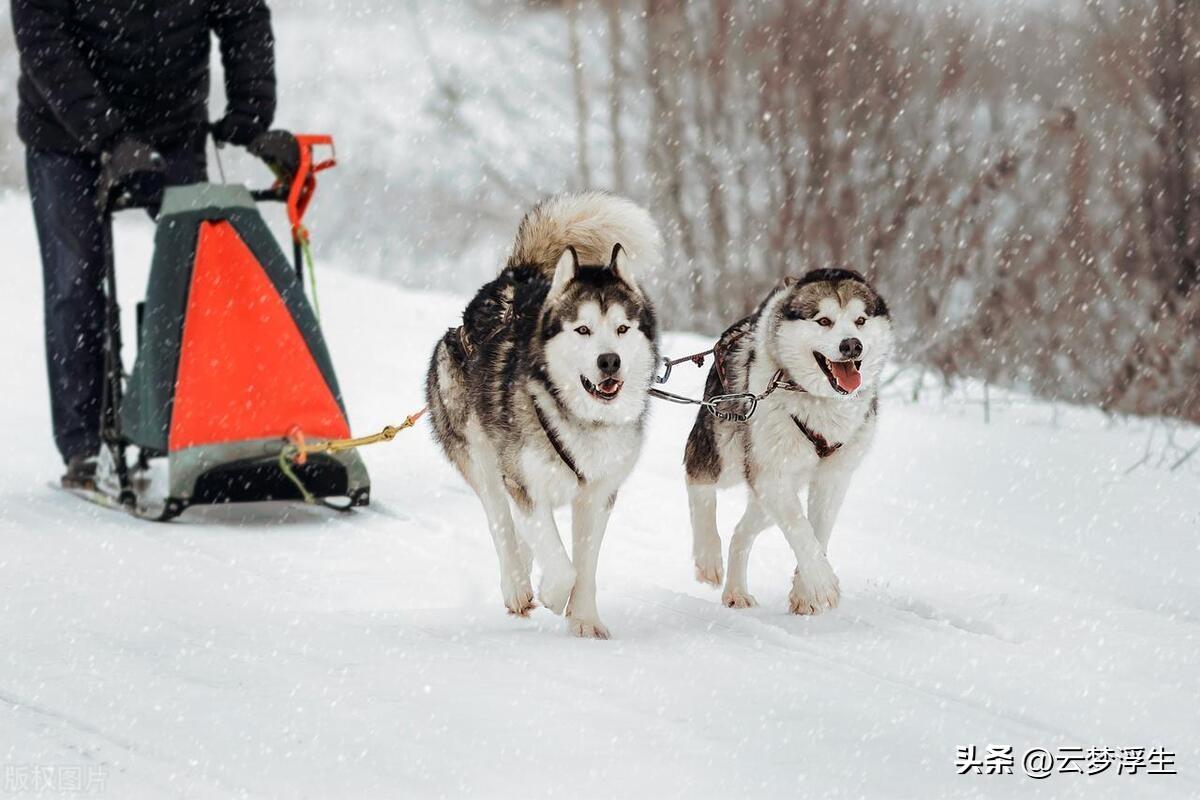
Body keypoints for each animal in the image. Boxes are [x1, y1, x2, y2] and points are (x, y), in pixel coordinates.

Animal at [427, 191, 662, 638]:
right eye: (583, 330)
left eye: (622, 329)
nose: (610, 361)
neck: (578, 417)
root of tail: (514, 276)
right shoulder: (524, 482)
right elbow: (562, 564)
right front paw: (553, 594)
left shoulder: (598, 494)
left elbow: (584, 566)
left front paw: (585, 620)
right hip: (481, 454)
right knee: (500, 520)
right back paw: (518, 585)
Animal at [686, 268, 892, 614]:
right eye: (824, 321)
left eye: (861, 320)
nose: (852, 345)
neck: (819, 401)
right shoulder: (771, 474)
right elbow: (800, 529)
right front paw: (821, 584)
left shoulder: (833, 478)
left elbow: (818, 533)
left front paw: (805, 591)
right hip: (729, 452)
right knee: (697, 477)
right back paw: (708, 555)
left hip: (768, 497)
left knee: (741, 533)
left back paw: (736, 591)